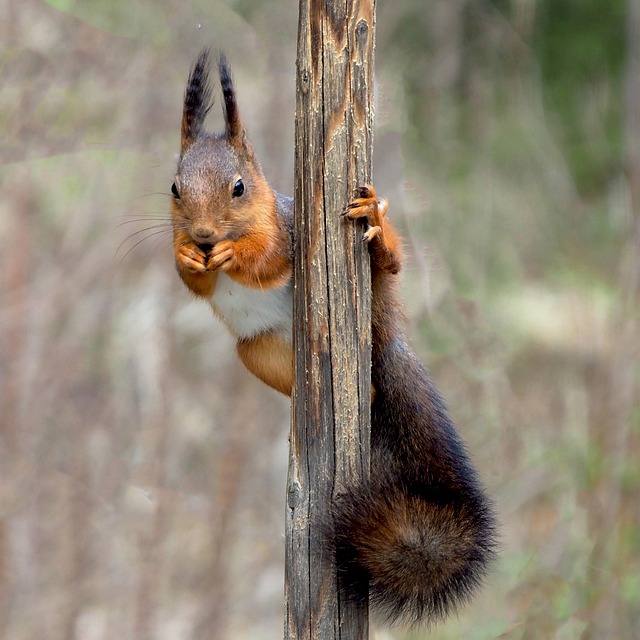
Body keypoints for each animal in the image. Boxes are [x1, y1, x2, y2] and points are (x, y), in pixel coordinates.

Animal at [169, 48, 496, 624]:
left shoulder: (287, 230)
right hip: (255, 350)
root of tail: (383, 338)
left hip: (377, 287)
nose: (205, 236)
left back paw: (378, 231)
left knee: (388, 267)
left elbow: (269, 258)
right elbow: (193, 279)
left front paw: (235, 253)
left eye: (239, 187)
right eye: (174, 188)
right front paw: (190, 257)